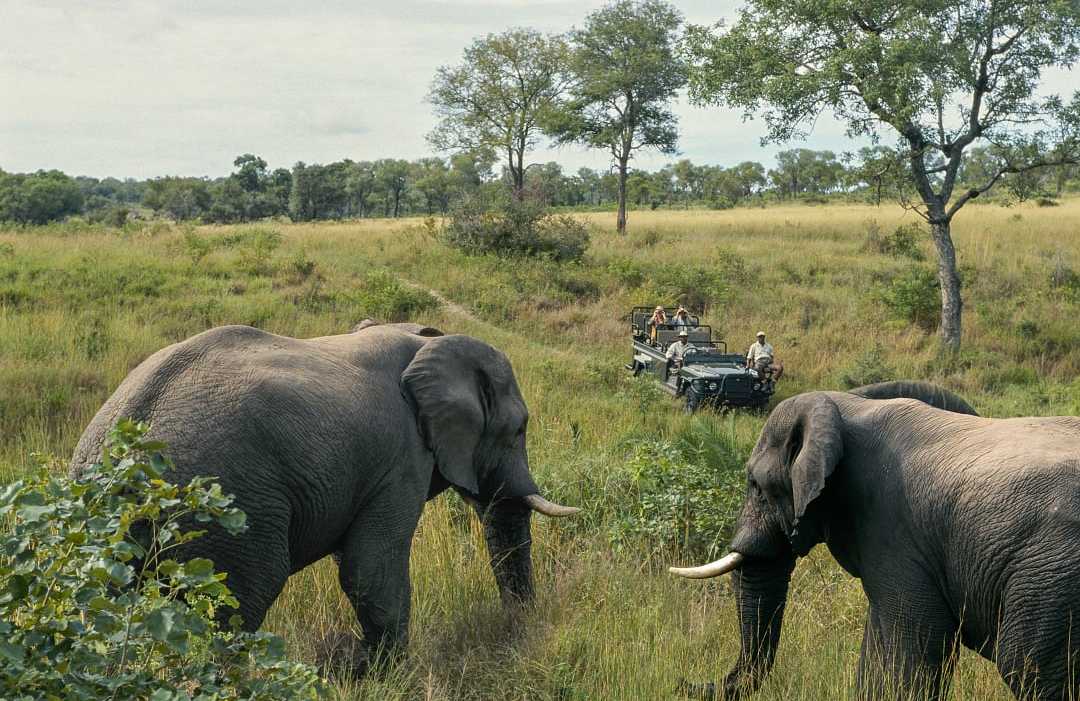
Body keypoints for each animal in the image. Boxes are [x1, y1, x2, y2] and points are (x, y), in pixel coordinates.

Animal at [72, 321, 579, 671]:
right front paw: (383, 676)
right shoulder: (400, 459)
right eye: (520, 429)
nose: (519, 631)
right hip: (233, 510)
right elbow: (369, 570)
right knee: (242, 601)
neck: (426, 340)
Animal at [670, 381, 1080, 700]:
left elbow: (915, 650)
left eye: (755, 485)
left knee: (1027, 667)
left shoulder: (894, 532)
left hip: (1051, 577)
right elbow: (877, 650)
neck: (849, 406)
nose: (682, 682)